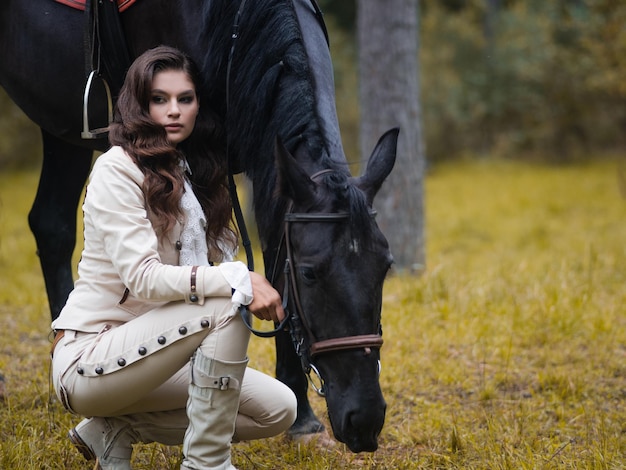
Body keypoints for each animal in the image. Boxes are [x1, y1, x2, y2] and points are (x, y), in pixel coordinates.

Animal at [0, 0, 398, 452]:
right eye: (311, 273)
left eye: (385, 266)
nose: (365, 419)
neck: (230, 25)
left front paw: (302, 418)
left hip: (62, 127)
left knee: (51, 225)